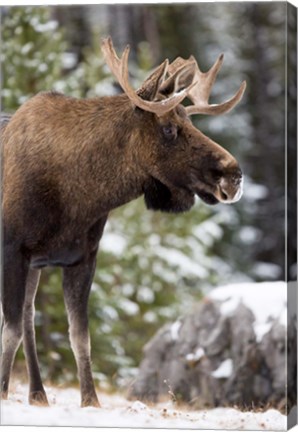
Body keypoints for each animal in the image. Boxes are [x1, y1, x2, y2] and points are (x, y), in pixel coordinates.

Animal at [0, 38, 244, 408]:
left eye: (191, 122)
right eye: (169, 128)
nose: (234, 174)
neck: (79, 197)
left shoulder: (81, 258)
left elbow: (79, 336)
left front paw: (91, 401)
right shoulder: (12, 249)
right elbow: (10, 331)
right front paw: (1, 392)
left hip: (37, 265)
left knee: (29, 316)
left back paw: (38, 393)